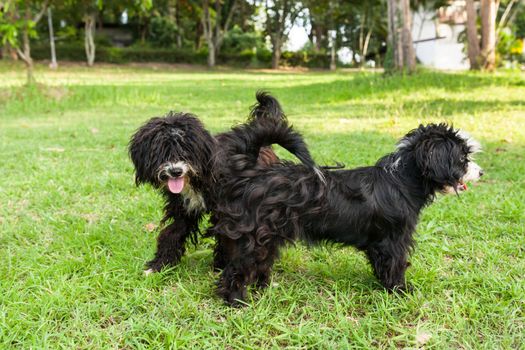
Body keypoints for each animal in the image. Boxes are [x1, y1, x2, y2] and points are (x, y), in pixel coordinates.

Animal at [130, 92, 320, 274]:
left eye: (187, 150)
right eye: (161, 151)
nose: (175, 171)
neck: (201, 176)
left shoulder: (227, 210)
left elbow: (225, 237)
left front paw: (221, 265)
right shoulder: (184, 208)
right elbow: (172, 233)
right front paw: (160, 264)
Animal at [211, 124, 482, 304]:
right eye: (462, 158)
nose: (481, 173)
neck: (401, 180)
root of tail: (252, 173)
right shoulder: (393, 241)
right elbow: (394, 266)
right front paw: (401, 292)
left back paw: (263, 286)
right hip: (257, 236)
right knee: (238, 268)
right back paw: (236, 299)